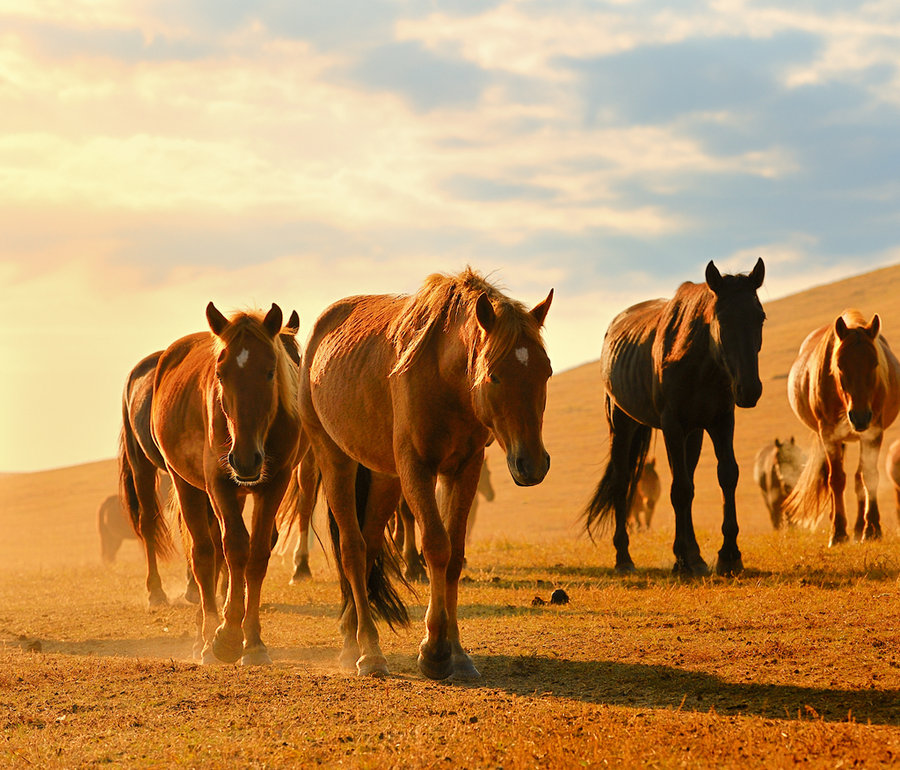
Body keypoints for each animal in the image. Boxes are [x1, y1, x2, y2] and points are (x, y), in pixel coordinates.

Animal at [302, 268, 552, 676]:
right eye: (494, 376)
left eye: (545, 372)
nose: (532, 464)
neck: (446, 381)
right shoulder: (418, 469)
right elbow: (436, 544)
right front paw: (434, 650)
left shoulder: (463, 470)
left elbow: (454, 555)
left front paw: (458, 652)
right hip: (335, 459)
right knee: (353, 549)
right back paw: (368, 650)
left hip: (385, 478)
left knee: (369, 545)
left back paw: (351, 635)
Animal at [584, 260, 768, 576]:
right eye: (722, 320)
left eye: (760, 318)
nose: (749, 390)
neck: (699, 364)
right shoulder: (672, 425)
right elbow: (680, 489)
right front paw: (683, 558)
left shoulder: (720, 422)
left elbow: (725, 476)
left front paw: (728, 555)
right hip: (621, 424)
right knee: (622, 483)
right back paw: (624, 558)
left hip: (692, 434)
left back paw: (694, 556)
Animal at [780, 308, 900, 544]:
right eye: (840, 365)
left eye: (875, 363)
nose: (860, 417)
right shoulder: (829, 434)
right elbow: (835, 480)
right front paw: (838, 532)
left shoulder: (874, 432)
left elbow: (869, 477)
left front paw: (872, 529)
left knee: (858, 479)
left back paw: (859, 527)